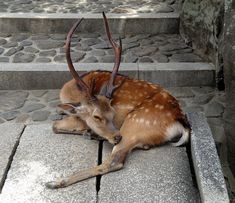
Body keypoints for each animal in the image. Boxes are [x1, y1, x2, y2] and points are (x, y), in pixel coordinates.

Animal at [46, 13, 191, 190]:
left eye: (113, 113)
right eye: (97, 116)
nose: (116, 136)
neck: (71, 91)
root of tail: (180, 121)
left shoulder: (80, 118)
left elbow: (55, 125)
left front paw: (89, 132)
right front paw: (91, 133)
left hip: (135, 124)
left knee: (115, 162)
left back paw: (56, 181)